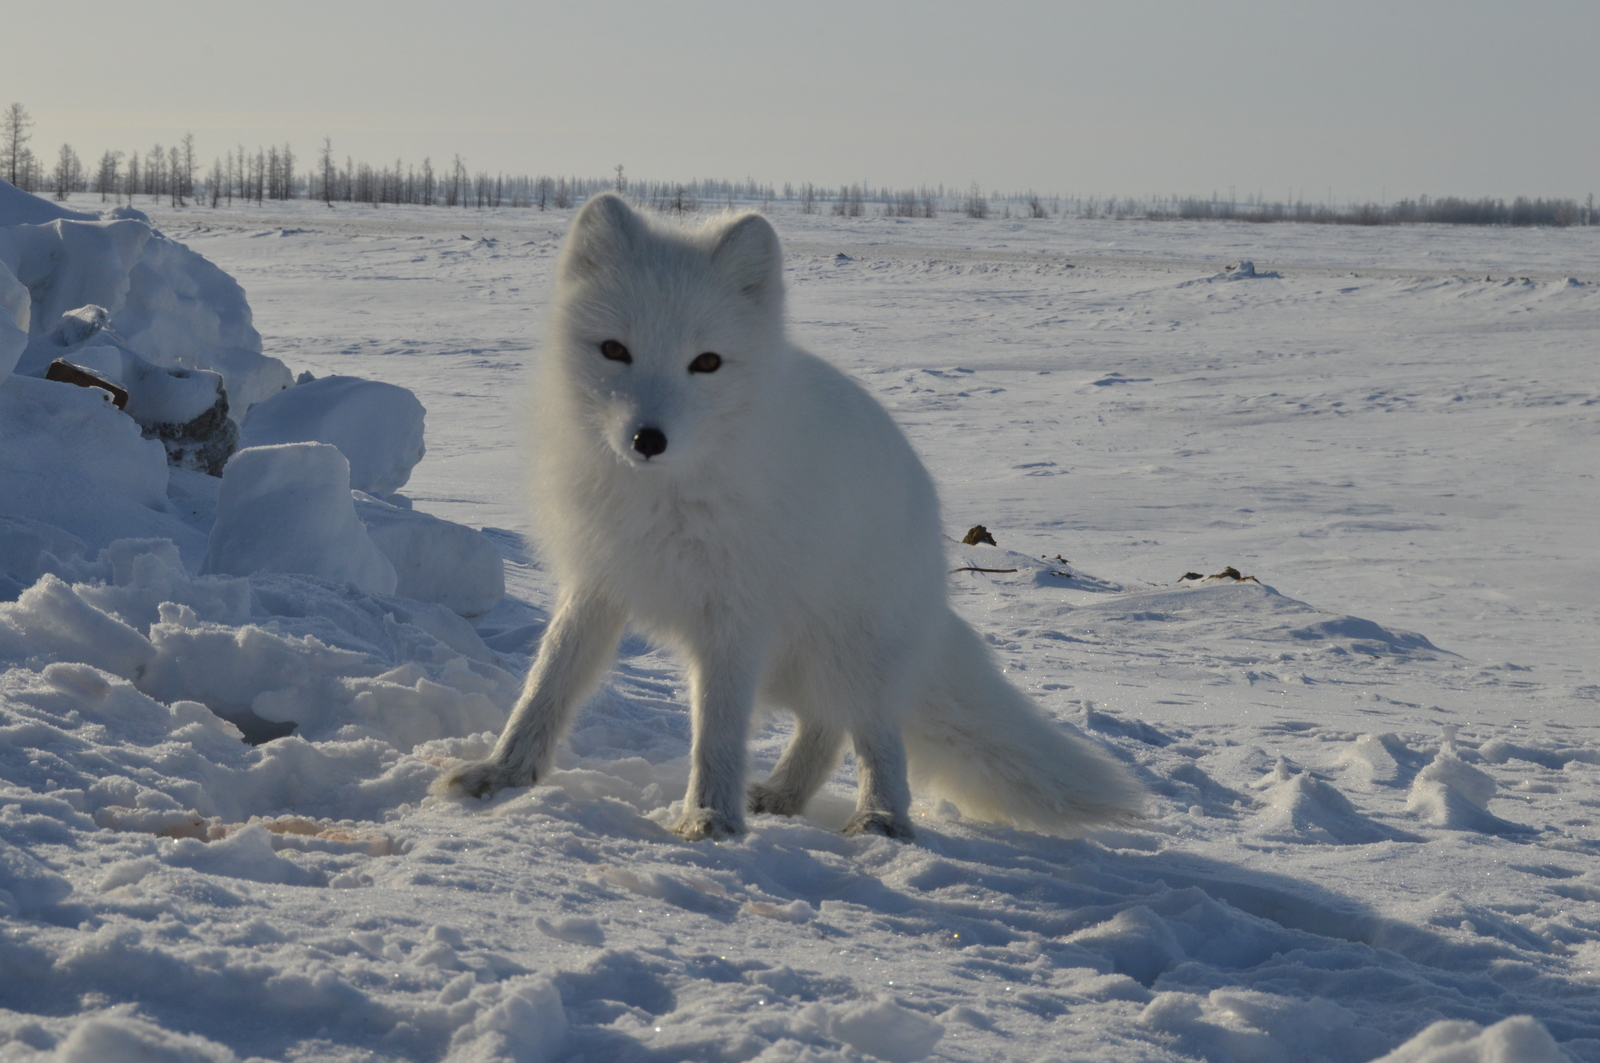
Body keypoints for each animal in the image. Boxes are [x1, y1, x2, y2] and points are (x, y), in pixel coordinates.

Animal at [438, 192, 1139, 838]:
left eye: (707, 362)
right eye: (614, 350)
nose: (647, 439)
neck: (668, 494)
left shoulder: (735, 614)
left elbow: (718, 730)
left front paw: (710, 819)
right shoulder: (599, 582)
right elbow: (546, 685)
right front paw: (501, 774)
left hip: (852, 647)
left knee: (875, 734)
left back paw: (881, 819)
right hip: (795, 664)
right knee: (825, 725)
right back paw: (782, 797)